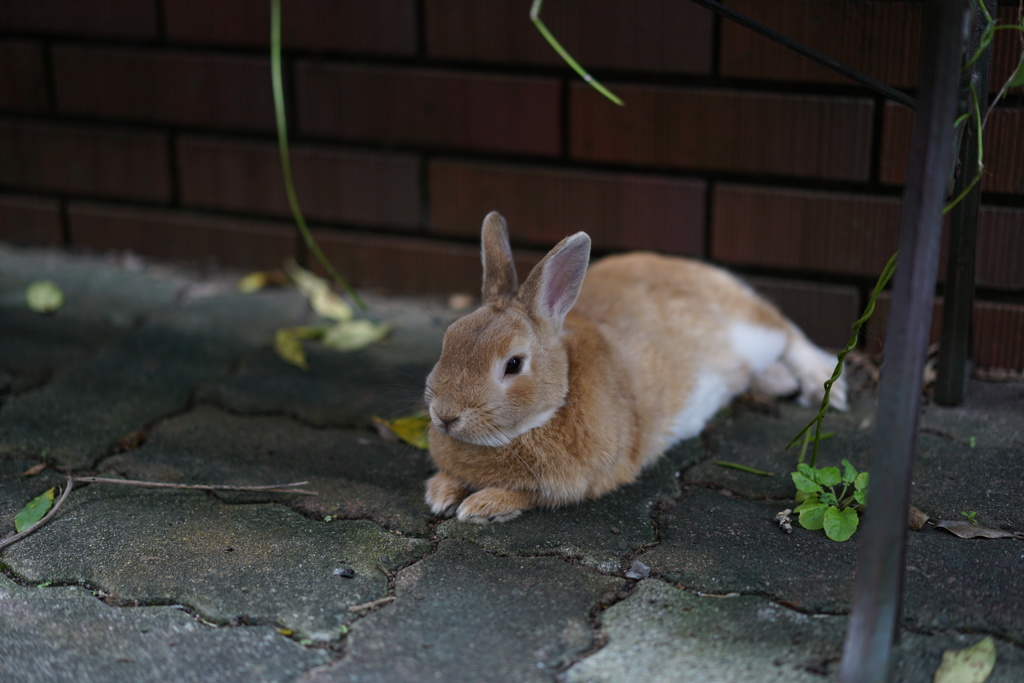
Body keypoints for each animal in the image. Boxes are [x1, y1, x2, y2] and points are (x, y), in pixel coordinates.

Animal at [423, 214, 847, 524]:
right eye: (448, 340)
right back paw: (780, 382)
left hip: (754, 333)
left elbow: (525, 494)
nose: (445, 416)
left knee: (787, 331)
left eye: (513, 364)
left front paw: (478, 507)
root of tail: (701, 270)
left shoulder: (574, 484)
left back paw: (823, 385)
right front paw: (439, 494)